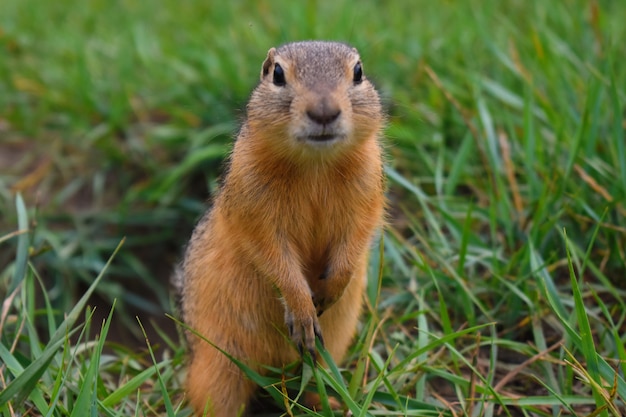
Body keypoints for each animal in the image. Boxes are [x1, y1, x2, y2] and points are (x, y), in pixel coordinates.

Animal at [178, 40, 386, 414]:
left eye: (358, 72)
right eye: (277, 74)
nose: (323, 112)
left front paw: (332, 288)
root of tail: (274, 373)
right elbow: (273, 256)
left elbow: (356, 239)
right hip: (217, 369)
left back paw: (333, 402)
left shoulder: (367, 193)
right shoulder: (254, 207)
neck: (316, 165)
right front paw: (302, 310)